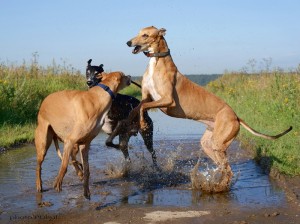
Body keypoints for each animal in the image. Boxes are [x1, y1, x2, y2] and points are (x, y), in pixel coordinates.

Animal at [127, 25, 292, 191]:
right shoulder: (147, 97)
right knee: (223, 168)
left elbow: (143, 107)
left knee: (228, 170)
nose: (128, 42)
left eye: (145, 35)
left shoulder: (168, 100)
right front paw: (133, 121)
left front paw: (142, 124)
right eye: (138, 32)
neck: (156, 61)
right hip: (209, 143)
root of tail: (236, 116)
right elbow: (138, 107)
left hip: (219, 144)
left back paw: (218, 187)